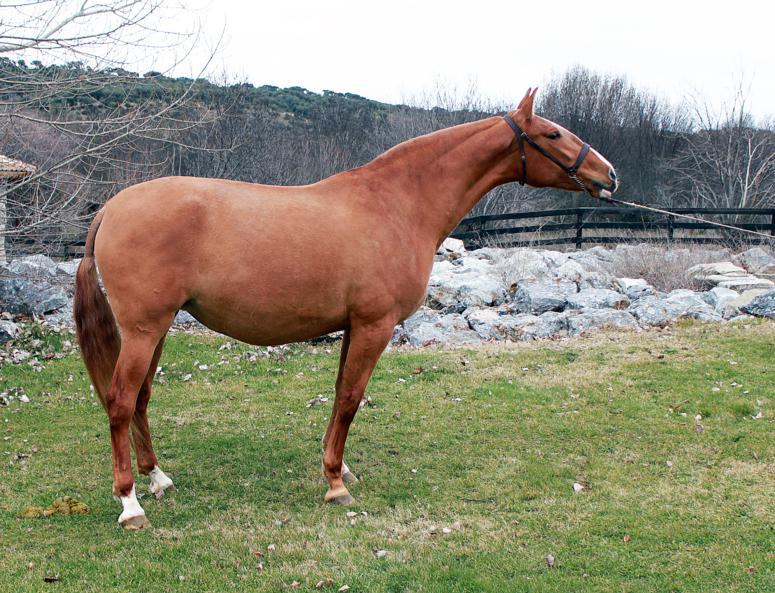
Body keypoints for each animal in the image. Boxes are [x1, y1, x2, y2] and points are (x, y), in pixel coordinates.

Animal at [74, 88, 618, 529]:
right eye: (552, 133)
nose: (608, 174)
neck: (397, 205)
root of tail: (113, 207)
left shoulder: (354, 326)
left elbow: (339, 397)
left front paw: (338, 467)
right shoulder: (375, 326)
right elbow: (353, 399)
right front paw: (336, 484)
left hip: (157, 330)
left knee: (140, 400)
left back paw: (158, 479)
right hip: (144, 330)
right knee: (120, 402)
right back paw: (130, 504)